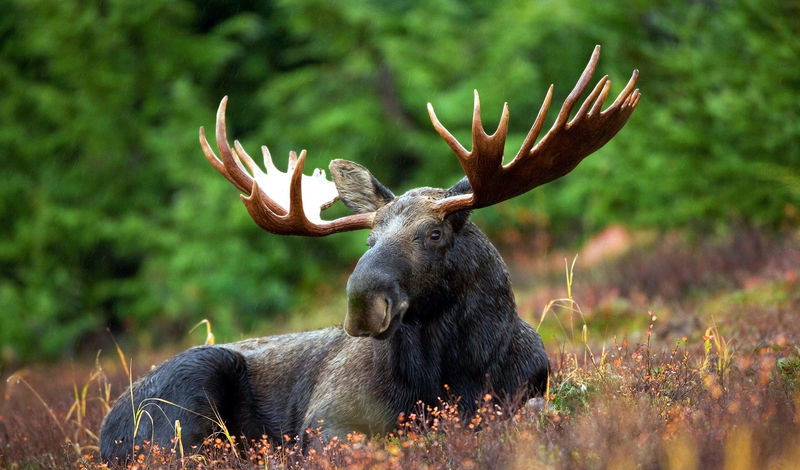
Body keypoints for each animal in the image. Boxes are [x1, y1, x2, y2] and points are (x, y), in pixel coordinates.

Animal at [100, 46, 640, 462]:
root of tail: (105, 433)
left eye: (434, 234)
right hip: (186, 398)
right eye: (369, 240)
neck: (456, 371)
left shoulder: (526, 392)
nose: (362, 303)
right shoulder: (327, 421)